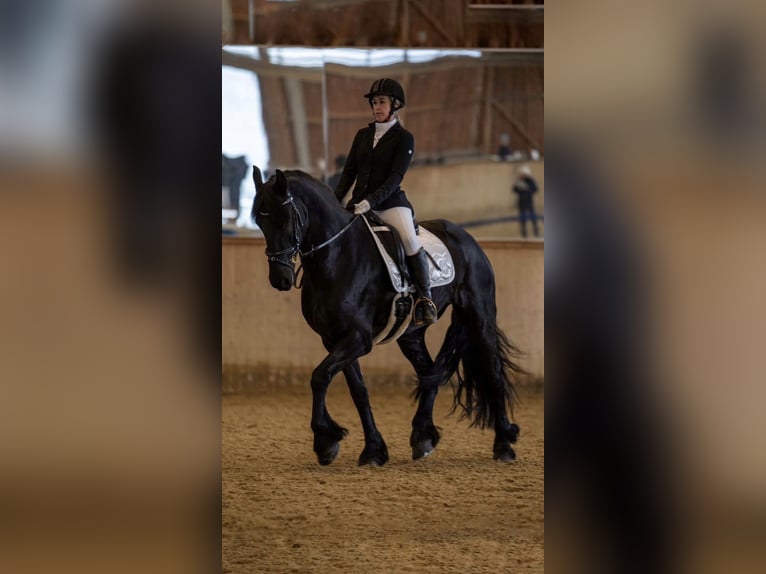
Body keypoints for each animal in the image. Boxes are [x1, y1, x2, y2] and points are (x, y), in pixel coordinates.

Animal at [252, 167, 524, 466]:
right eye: (260, 222)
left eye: (286, 218)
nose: (280, 279)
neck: (336, 257)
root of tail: (466, 237)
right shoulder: (334, 339)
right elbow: (358, 391)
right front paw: (372, 449)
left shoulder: (357, 338)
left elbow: (320, 376)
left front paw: (326, 441)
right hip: (411, 334)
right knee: (430, 374)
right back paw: (422, 437)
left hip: (480, 316)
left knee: (492, 371)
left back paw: (504, 444)